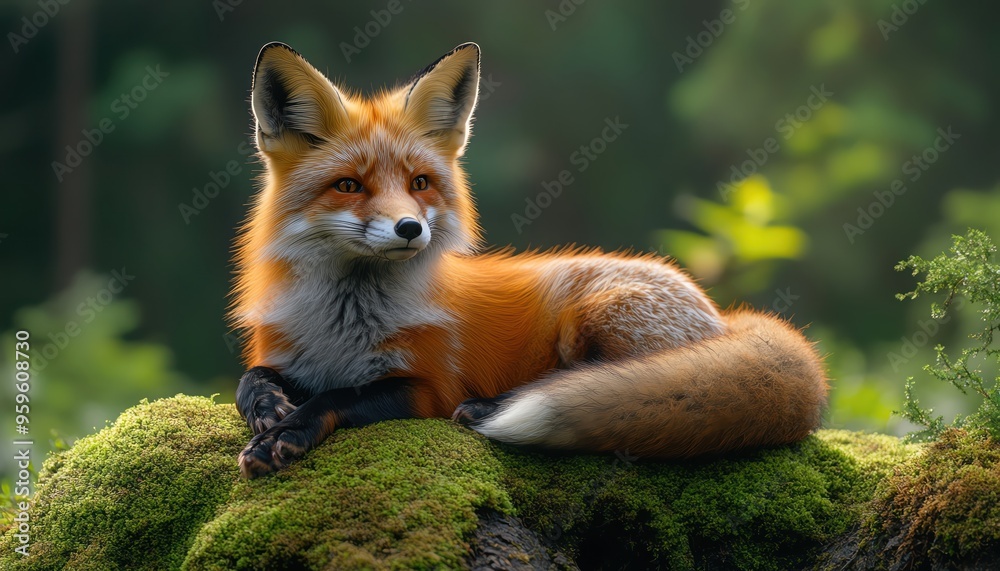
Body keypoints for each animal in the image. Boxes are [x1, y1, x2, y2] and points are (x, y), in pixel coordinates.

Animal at [231, 41, 829, 478]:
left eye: (419, 183)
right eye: (349, 185)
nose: (409, 228)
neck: (345, 322)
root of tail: (721, 314)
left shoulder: (427, 386)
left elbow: (342, 394)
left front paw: (290, 430)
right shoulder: (288, 353)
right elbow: (252, 379)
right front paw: (267, 407)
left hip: (597, 316)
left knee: (601, 381)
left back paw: (492, 407)